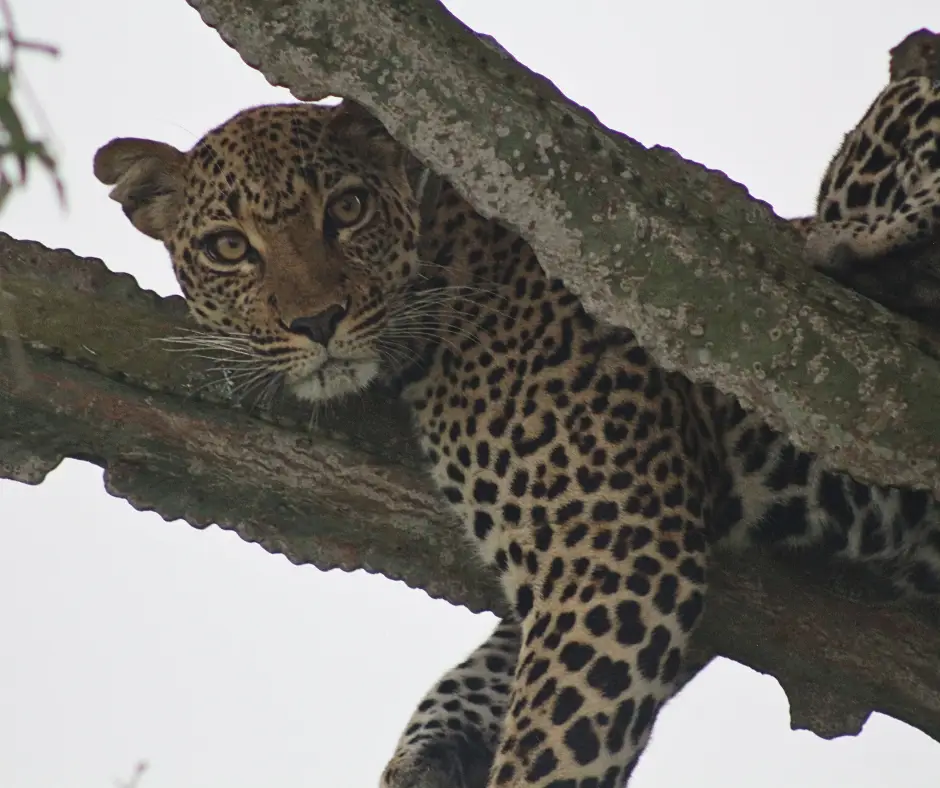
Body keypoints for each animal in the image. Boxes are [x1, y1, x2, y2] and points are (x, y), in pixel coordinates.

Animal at [94, 100, 940, 788]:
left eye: (349, 208)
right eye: (228, 247)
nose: (317, 321)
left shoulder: (617, 537)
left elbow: (555, 744)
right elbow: (485, 668)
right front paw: (434, 752)